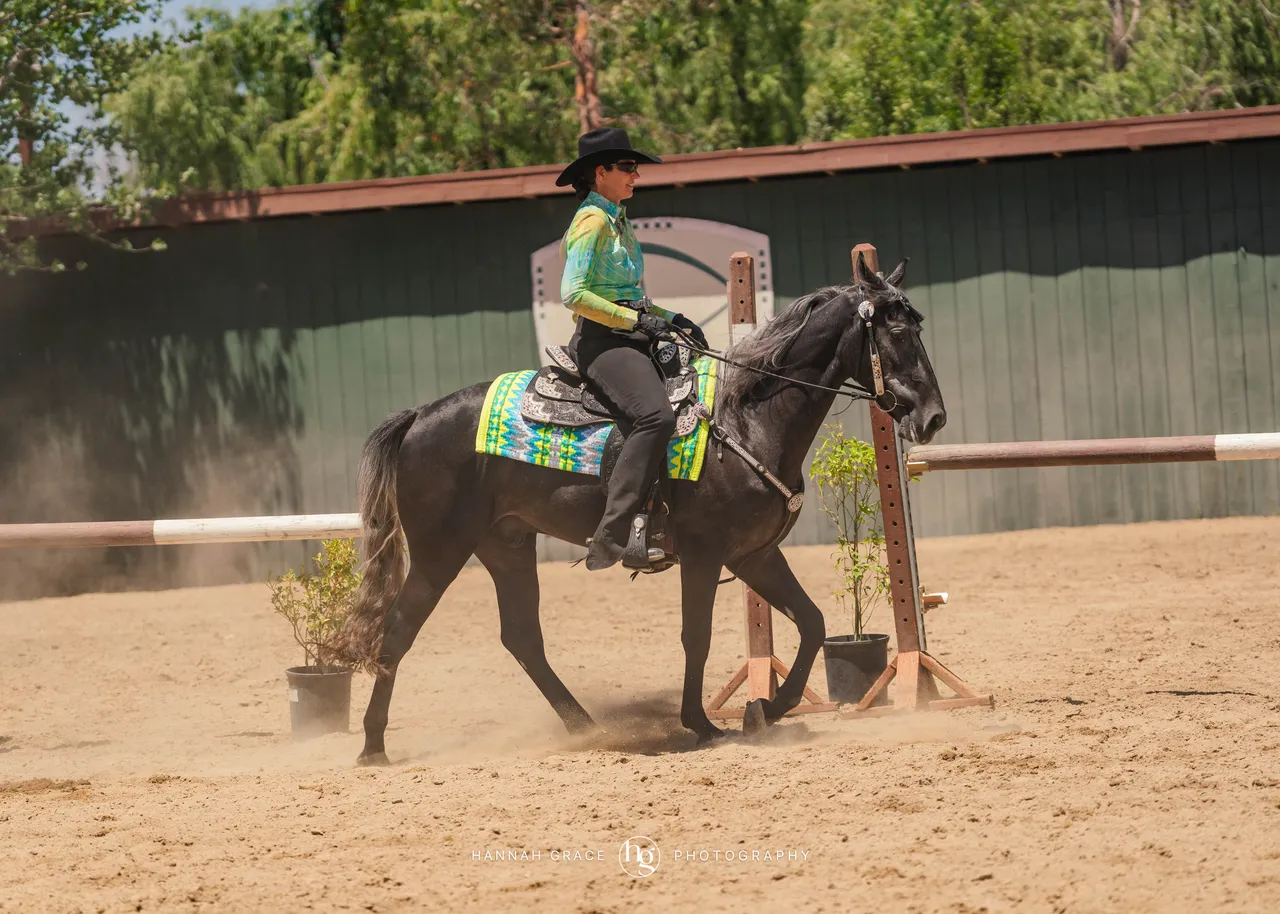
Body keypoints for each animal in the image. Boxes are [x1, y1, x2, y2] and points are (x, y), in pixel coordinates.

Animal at [336, 253, 946, 765]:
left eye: (918, 328)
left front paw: (767, 708)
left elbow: (813, 622)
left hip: (506, 544)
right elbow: (696, 636)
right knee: (399, 629)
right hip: (441, 550)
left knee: (522, 637)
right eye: (896, 331)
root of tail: (419, 416)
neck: (746, 418)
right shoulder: (704, 554)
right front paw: (702, 722)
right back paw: (372, 746)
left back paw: (587, 728)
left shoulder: (753, 556)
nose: (933, 417)